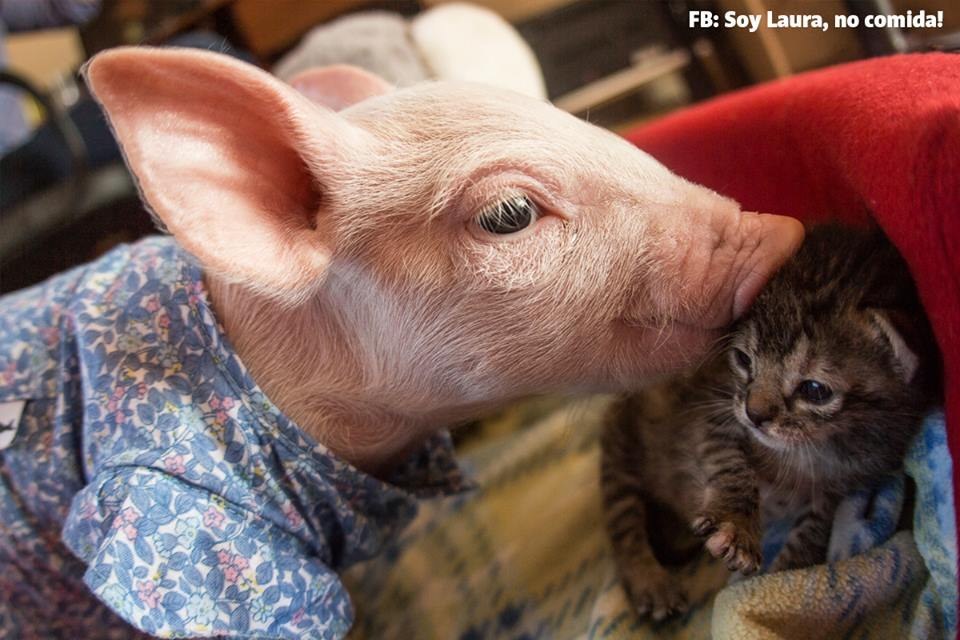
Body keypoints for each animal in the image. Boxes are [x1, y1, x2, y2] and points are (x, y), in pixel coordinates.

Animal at [600, 225, 936, 620]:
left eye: (815, 390)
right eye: (744, 360)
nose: (755, 414)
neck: (817, 445)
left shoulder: (846, 483)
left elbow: (814, 530)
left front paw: (778, 583)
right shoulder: (712, 409)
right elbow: (732, 464)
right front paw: (737, 524)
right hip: (621, 451)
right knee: (624, 527)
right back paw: (651, 582)